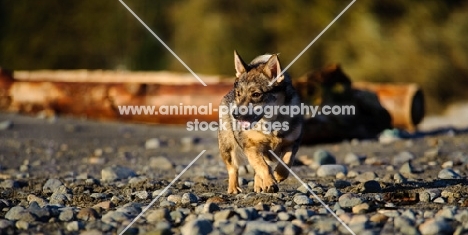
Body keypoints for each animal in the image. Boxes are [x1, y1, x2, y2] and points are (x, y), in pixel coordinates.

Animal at [217, 50, 302, 194]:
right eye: (238, 94)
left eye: (256, 94)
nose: (235, 114)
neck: (271, 123)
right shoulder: (251, 147)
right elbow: (263, 167)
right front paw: (270, 183)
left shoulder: (292, 143)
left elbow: (285, 163)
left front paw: (278, 176)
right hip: (228, 147)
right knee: (233, 168)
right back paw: (234, 188)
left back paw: (260, 185)